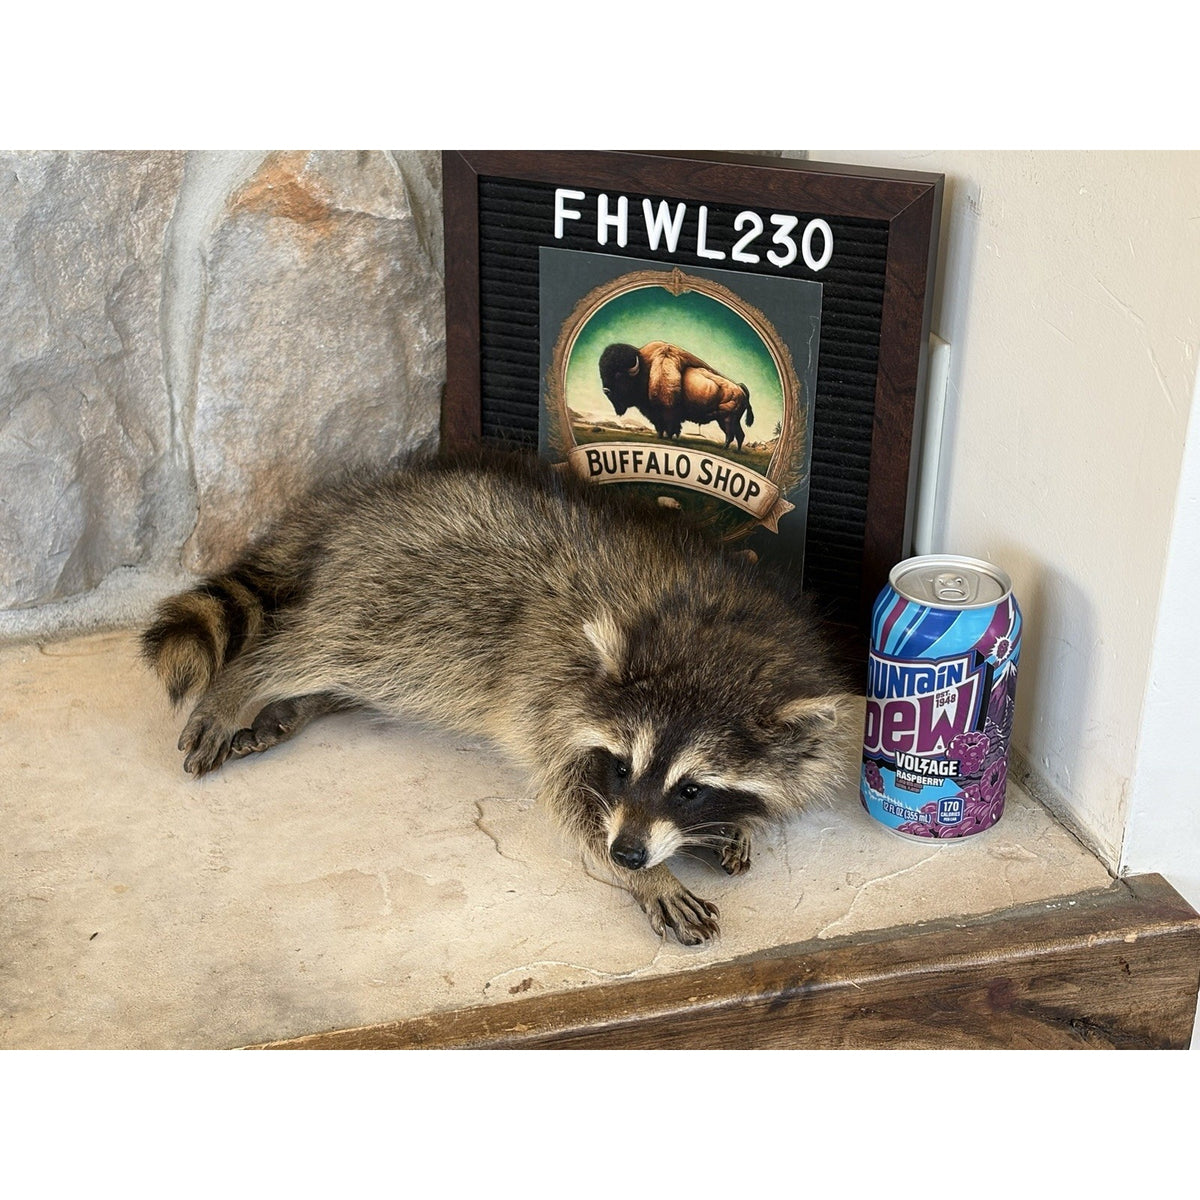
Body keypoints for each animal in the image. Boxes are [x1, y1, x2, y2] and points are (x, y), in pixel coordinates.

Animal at [142, 450, 857, 945]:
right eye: (622, 766)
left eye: (692, 789)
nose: (628, 853)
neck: (720, 630)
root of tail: (357, 503)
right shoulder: (555, 692)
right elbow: (572, 801)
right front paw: (648, 878)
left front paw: (734, 824)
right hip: (418, 594)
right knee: (329, 641)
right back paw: (249, 680)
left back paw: (314, 699)